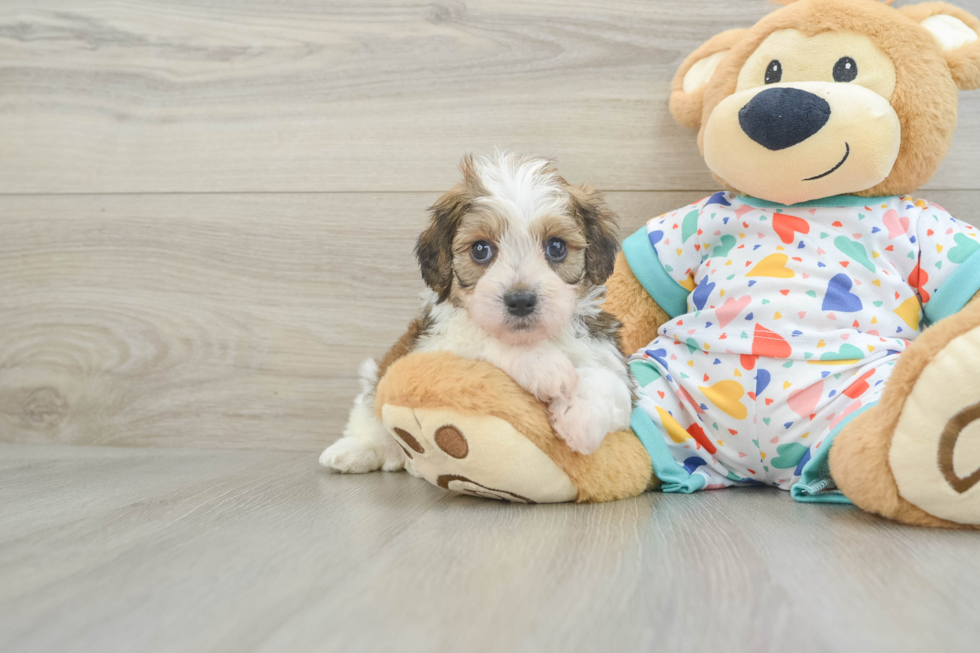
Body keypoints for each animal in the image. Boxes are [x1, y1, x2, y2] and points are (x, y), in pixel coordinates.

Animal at [322, 152, 636, 474]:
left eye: (557, 247)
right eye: (480, 249)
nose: (520, 300)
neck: (536, 337)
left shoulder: (612, 360)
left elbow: (609, 382)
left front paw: (581, 418)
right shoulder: (430, 348)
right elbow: (479, 337)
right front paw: (543, 365)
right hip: (377, 376)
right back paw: (355, 451)